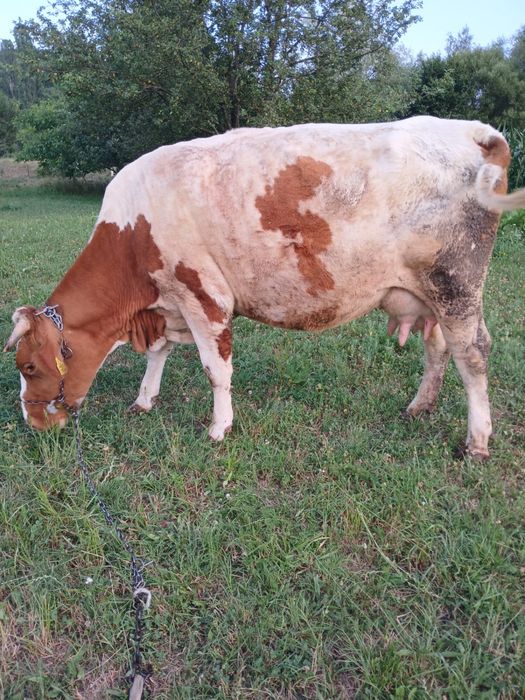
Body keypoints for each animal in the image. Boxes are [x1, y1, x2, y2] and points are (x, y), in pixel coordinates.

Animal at [5, 116, 525, 459]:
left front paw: (219, 428)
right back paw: (419, 407)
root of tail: (477, 131)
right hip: (428, 294)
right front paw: (144, 400)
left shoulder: (203, 295)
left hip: (456, 283)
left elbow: (216, 369)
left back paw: (477, 441)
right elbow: (158, 353)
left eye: (28, 366)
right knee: (438, 348)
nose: (33, 423)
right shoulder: (169, 302)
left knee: (472, 354)